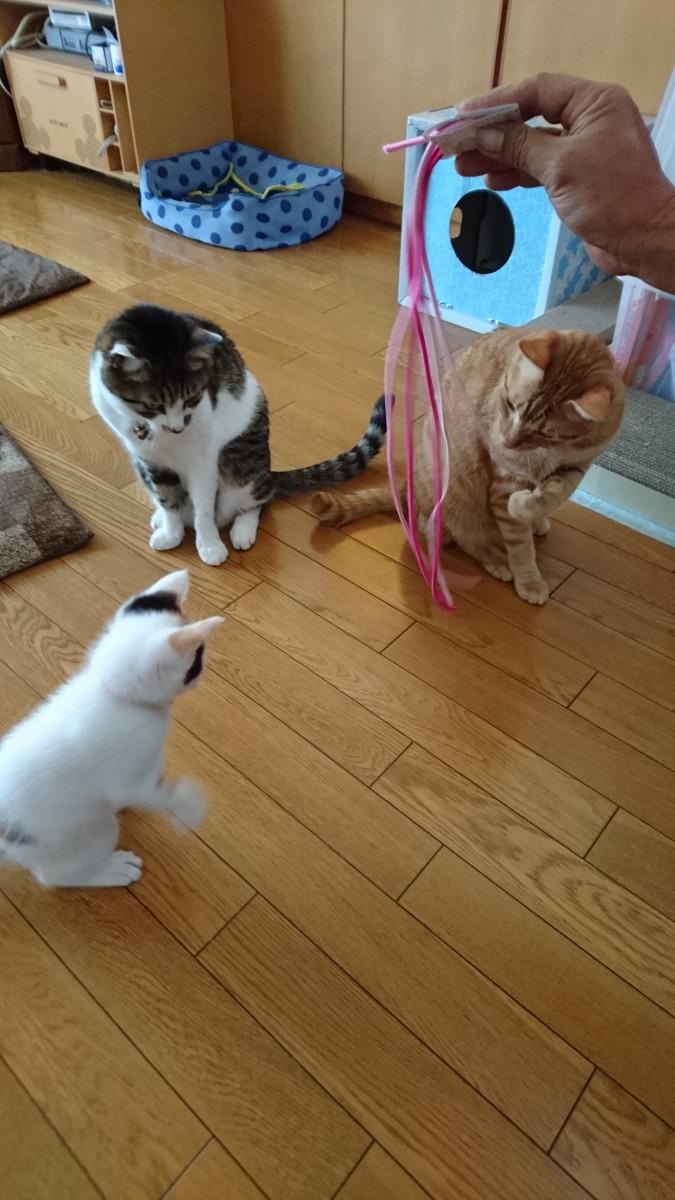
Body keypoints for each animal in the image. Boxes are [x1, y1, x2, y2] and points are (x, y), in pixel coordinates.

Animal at [0, 569, 221, 888]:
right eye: (197, 663)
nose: (202, 676)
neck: (118, 695)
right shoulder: (126, 779)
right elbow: (156, 794)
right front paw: (189, 807)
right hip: (87, 833)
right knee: (56, 876)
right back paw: (114, 870)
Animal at [90, 303, 386, 566]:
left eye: (192, 398)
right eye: (154, 406)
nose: (177, 427)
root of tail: (269, 473)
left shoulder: (204, 461)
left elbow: (204, 511)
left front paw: (209, 546)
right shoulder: (150, 460)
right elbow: (167, 498)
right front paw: (171, 531)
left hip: (238, 459)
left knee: (256, 500)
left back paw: (242, 530)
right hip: (142, 466)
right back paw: (161, 518)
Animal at [311, 327, 624, 604]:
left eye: (544, 433)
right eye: (509, 404)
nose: (506, 441)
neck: (554, 453)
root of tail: (408, 488)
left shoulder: (576, 467)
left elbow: (554, 494)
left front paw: (533, 508)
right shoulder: (504, 481)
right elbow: (520, 546)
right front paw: (529, 579)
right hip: (456, 494)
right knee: (458, 536)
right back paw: (498, 560)